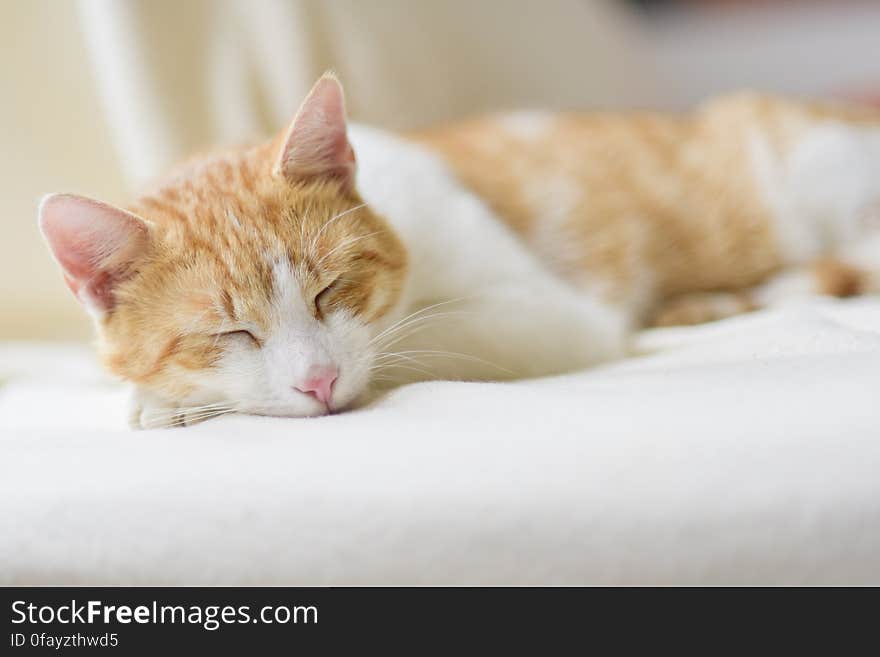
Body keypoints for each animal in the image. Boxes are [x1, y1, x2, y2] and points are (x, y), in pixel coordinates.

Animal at [36, 74, 880, 428]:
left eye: (330, 291)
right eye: (230, 332)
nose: (319, 382)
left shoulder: (552, 314)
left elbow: (424, 339)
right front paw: (167, 397)